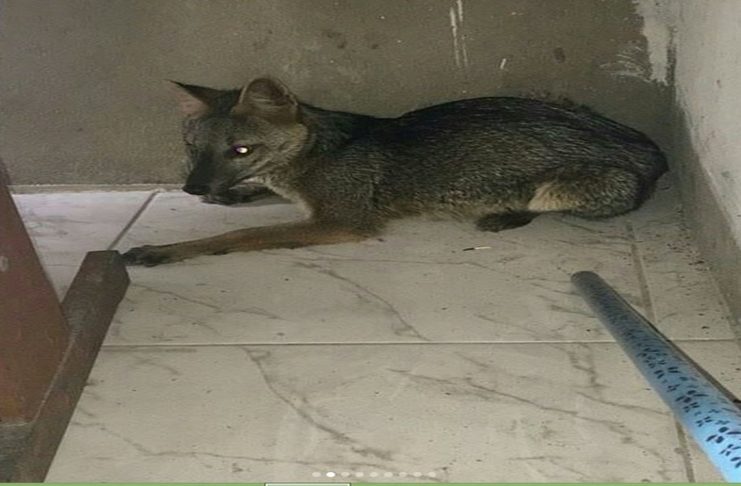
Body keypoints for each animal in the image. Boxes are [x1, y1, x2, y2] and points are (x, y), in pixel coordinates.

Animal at [122, 77, 667, 266]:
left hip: (553, 191)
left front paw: (168, 249)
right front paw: (233, 195)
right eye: (193, 148)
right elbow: (264, 195)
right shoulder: (310, 202)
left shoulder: (340, 222)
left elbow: (241, 235)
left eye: (240, 149)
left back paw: (505, 214)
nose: (191, 187)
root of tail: (647, 146)